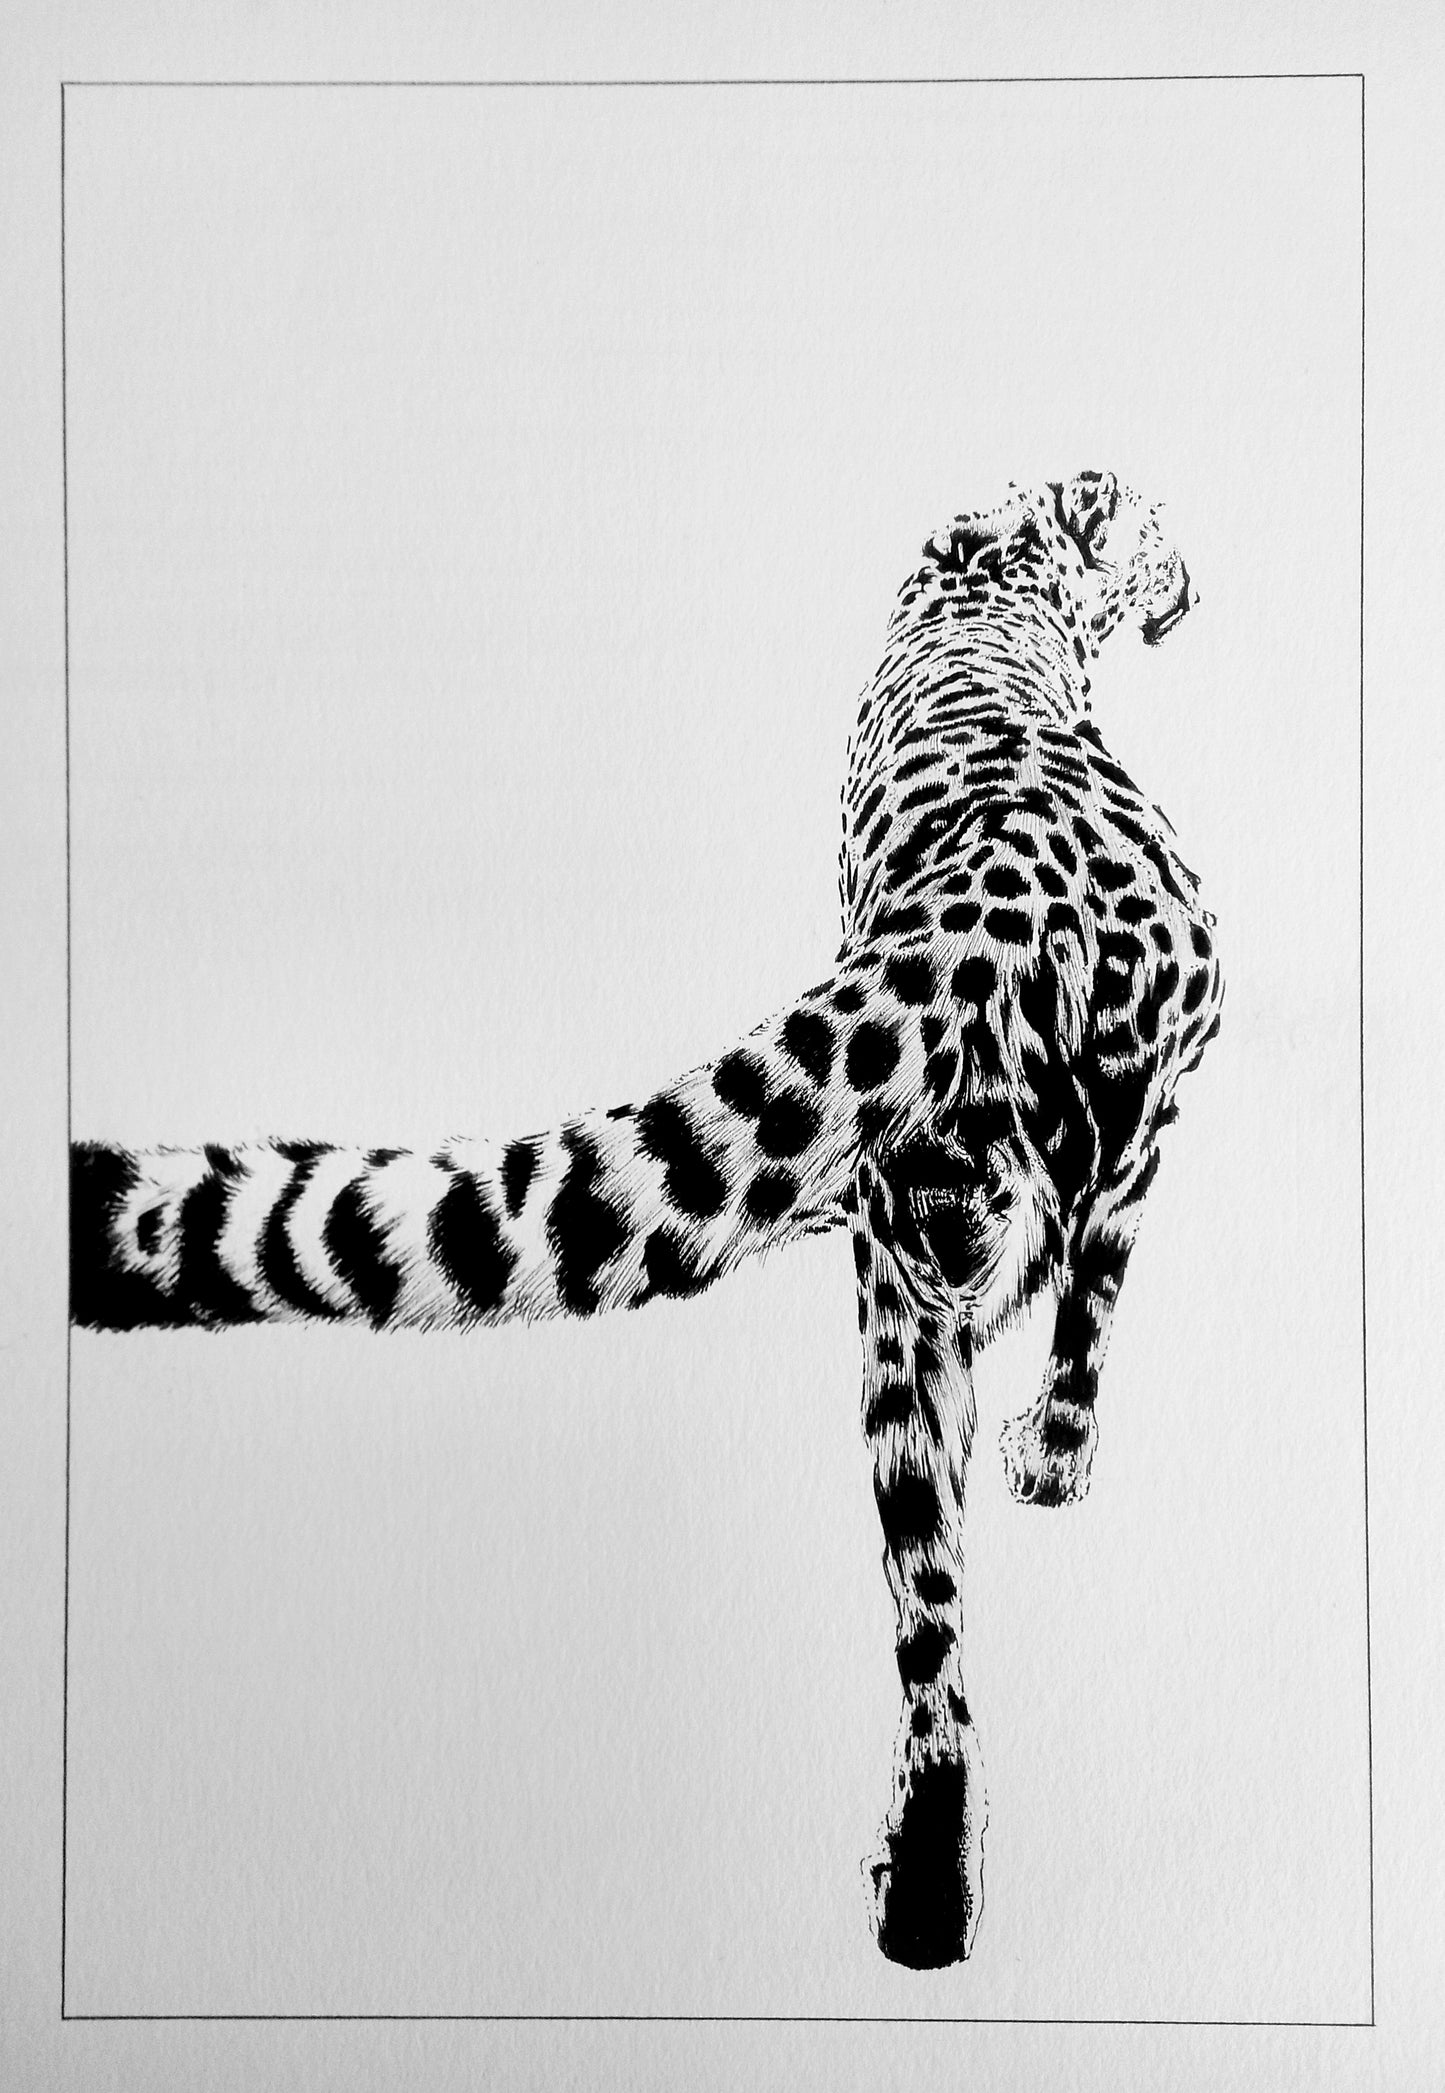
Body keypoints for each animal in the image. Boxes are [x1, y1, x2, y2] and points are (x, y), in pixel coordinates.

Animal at [71, 468, 1222, 1971]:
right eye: (1161, 533)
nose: (1194, 582)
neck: (1001, 569)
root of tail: (991, 894)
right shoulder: (1146, 1151)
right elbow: (1091, 1327)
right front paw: (1063, 1454)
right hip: (967, 1240)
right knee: (959, 1558)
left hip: (909, 1276)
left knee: (926, 1607)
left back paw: (921, 1893)